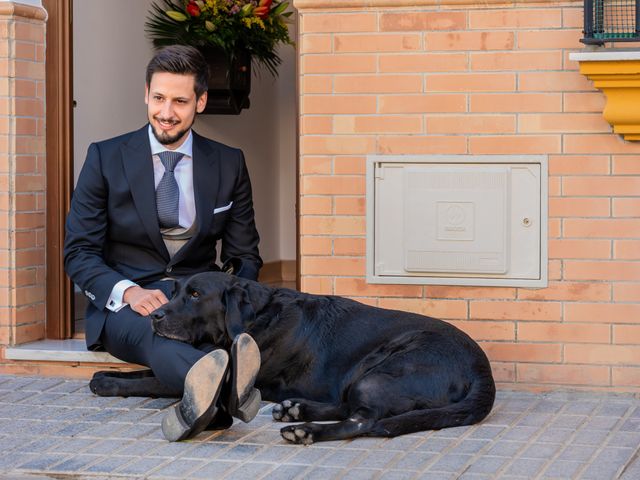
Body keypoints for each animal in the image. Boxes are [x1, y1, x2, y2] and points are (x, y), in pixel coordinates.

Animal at [92, 272, 498, 444]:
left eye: (194, 295)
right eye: (173, 291)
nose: (155, 316)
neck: (255, 317)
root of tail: (483, 370)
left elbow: (154, 379)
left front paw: (106, 381)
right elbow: (147, 370)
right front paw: (109, 375)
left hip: (381, 369)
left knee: (364, 420)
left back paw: (304, 429)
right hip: (362, 375)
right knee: (348, 406)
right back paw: (296, 410)